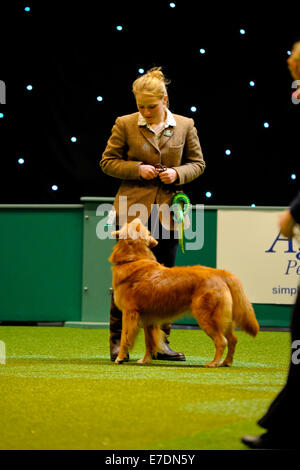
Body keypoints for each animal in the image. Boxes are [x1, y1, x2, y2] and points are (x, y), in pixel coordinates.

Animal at [109, 218, 258, 366]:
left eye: (136, 225)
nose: (138, 218)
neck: (134, 259)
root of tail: (219, 273)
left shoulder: (129, 312)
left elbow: (125, 337)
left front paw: (120, 358)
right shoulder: (149, 318)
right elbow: (149, 342)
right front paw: (145, 360)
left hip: (206, 316)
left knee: (222, 341)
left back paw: (213, 363)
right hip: (224, 318)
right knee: (233, 339)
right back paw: (226, 362)